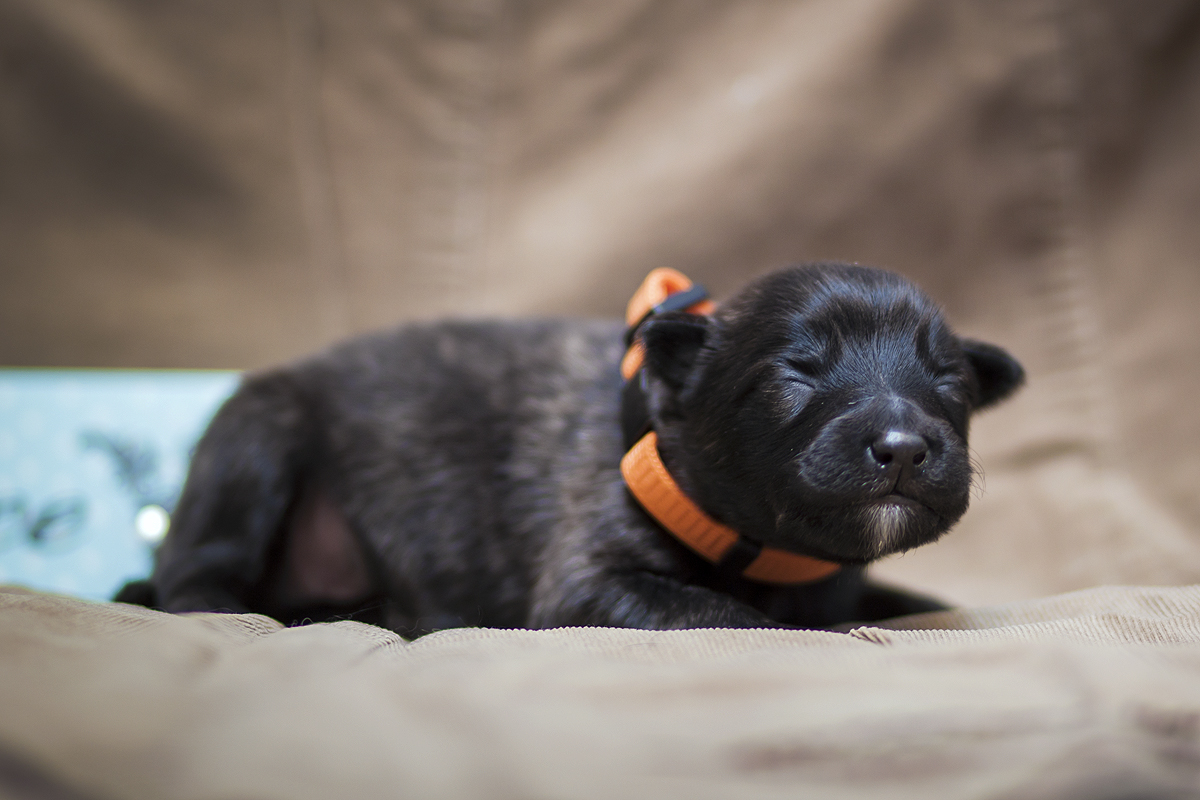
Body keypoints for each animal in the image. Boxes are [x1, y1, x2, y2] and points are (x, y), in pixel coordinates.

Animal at [140, 263, 1023, 635]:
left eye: (948, 380)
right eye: (795, 374)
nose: (904, 447)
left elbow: (905, 600)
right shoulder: (590, 583)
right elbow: (732, 616)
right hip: (254, 442)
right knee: (191, 582)